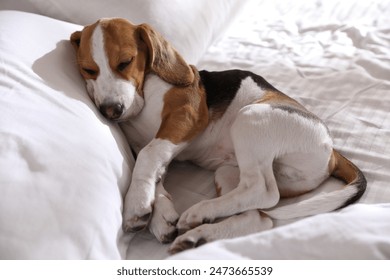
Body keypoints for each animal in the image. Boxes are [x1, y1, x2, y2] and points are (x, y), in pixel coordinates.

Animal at [70, 17, 366, 254]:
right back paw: (198, 235)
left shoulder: (186, 115)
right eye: (88, 70)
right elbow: (154, 170)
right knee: (256, 215)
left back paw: (199, 213)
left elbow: (147, 155)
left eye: (126, 62)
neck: (143, 96)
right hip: (230, 172)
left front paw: (136, 204)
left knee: (263, 192)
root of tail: (332, 150)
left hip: (251, 119)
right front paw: (160, 215)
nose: (110, 111)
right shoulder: (154, 145)